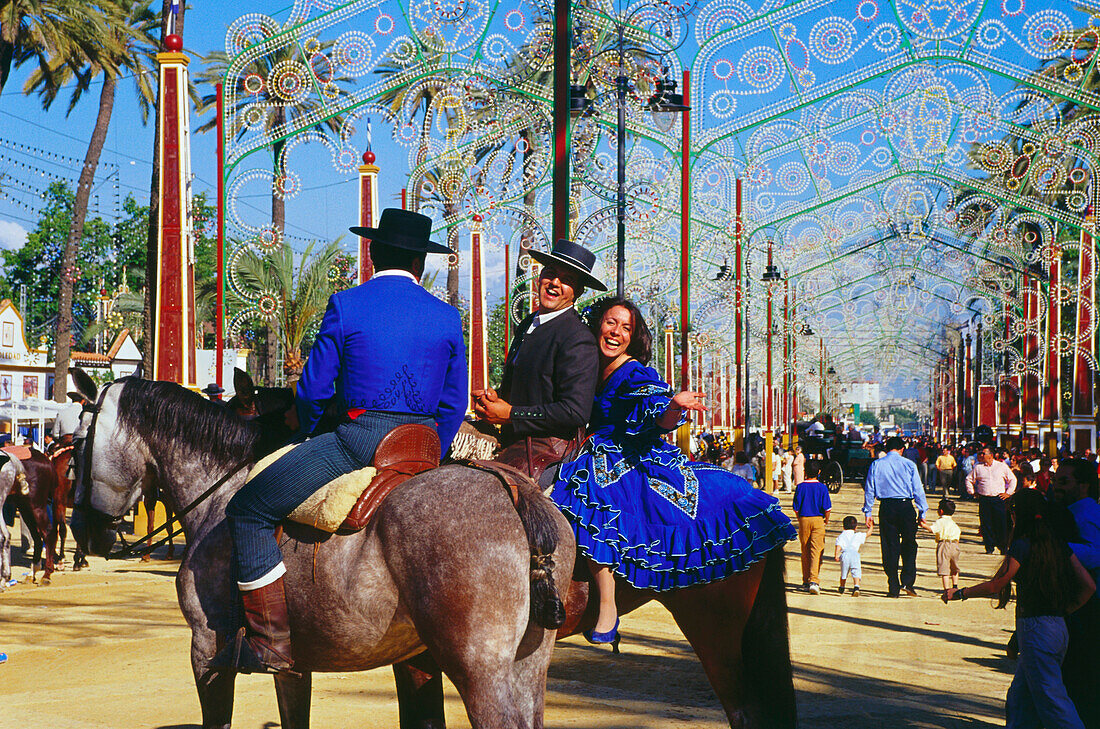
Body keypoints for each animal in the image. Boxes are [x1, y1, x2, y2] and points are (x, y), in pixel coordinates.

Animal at [68, 373, 576, 729]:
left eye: (76, 446)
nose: (84, 533)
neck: (221, 491)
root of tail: (515, 489)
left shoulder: (207, 648)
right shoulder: (293, 665)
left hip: (479, 671)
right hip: (527, 669)